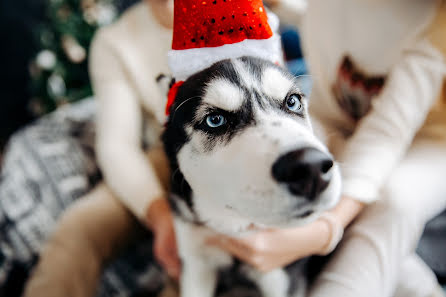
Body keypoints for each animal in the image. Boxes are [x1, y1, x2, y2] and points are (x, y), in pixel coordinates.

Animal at [162, 55, 340, 296]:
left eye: (292, 101)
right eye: (215, 120)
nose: (311, 167)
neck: (234, 225)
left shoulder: (282, 273)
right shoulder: (196, 261)